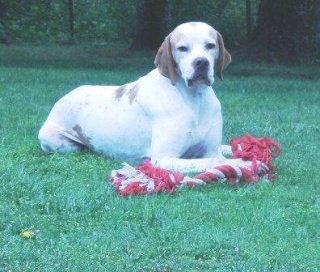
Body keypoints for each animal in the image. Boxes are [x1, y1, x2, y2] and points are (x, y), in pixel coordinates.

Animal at [38, 21, 252, 172]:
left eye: (210, 46)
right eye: (182, 48)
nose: (201, 62)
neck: (193, 99)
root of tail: (64, 97)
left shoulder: (209, 148)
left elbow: (216, 155)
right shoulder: (164, 159)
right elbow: (212, 161)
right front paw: (243, 164)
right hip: (53, 139)